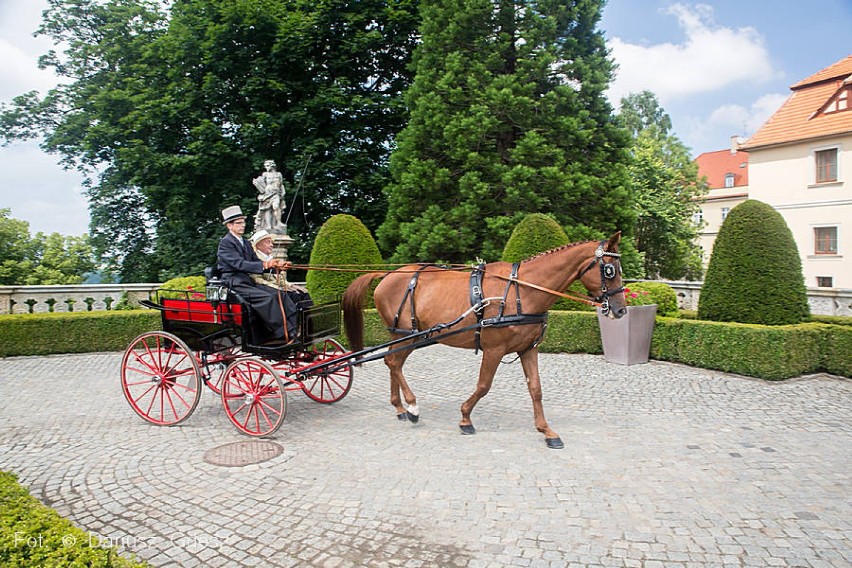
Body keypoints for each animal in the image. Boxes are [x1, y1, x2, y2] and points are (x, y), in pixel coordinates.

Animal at [340, 231, 624, 448]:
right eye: (610, 270)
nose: (621, 310)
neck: (522, 291)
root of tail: (387, 274)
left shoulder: (528, 349)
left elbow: (536, 389)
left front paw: (546, 431)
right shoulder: (494, 349)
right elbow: (484, 385)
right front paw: (465, 418)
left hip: (404, 336)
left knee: (392, 363)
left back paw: (400, 408)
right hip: (407, 335)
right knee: (393, 363)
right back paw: (412, 406)